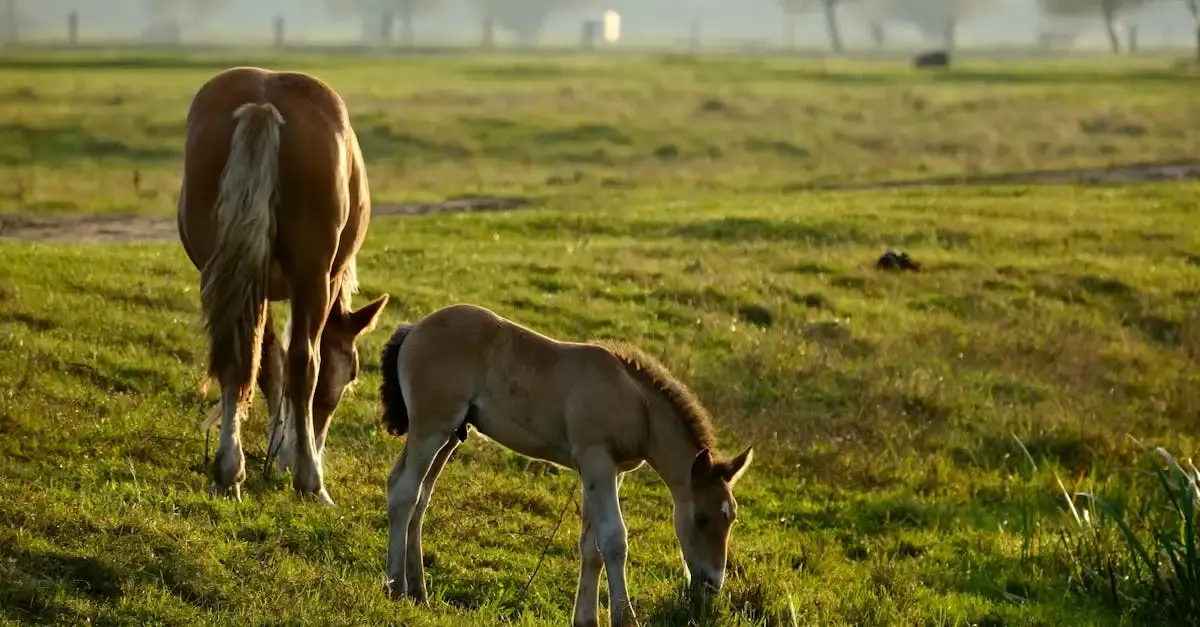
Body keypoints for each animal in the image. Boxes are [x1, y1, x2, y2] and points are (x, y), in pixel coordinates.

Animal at [177, 66, 390, 505]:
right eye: (352, 374)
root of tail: (263, 103)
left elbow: (266, 366)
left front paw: (276, 450)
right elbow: (292, 370)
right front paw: (290, 454)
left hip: (229, 275)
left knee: (238, 359)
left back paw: (228, 472)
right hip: (311, 278)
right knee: (303, 363)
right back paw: (311, 480)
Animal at [377, 303, 754, 627]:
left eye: (731, 518)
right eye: (701, 518)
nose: (712, 584)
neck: (637, 405)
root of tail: (414, 328)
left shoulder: (605, 472)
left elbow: (592, 546)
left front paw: (586, 619)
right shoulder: (597, 460)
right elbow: (614, 539)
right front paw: (625, 617)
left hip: (451, 435)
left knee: (418, 496)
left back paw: (419, 591)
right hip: (433, 427)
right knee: (405, 493)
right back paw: (395, 587)